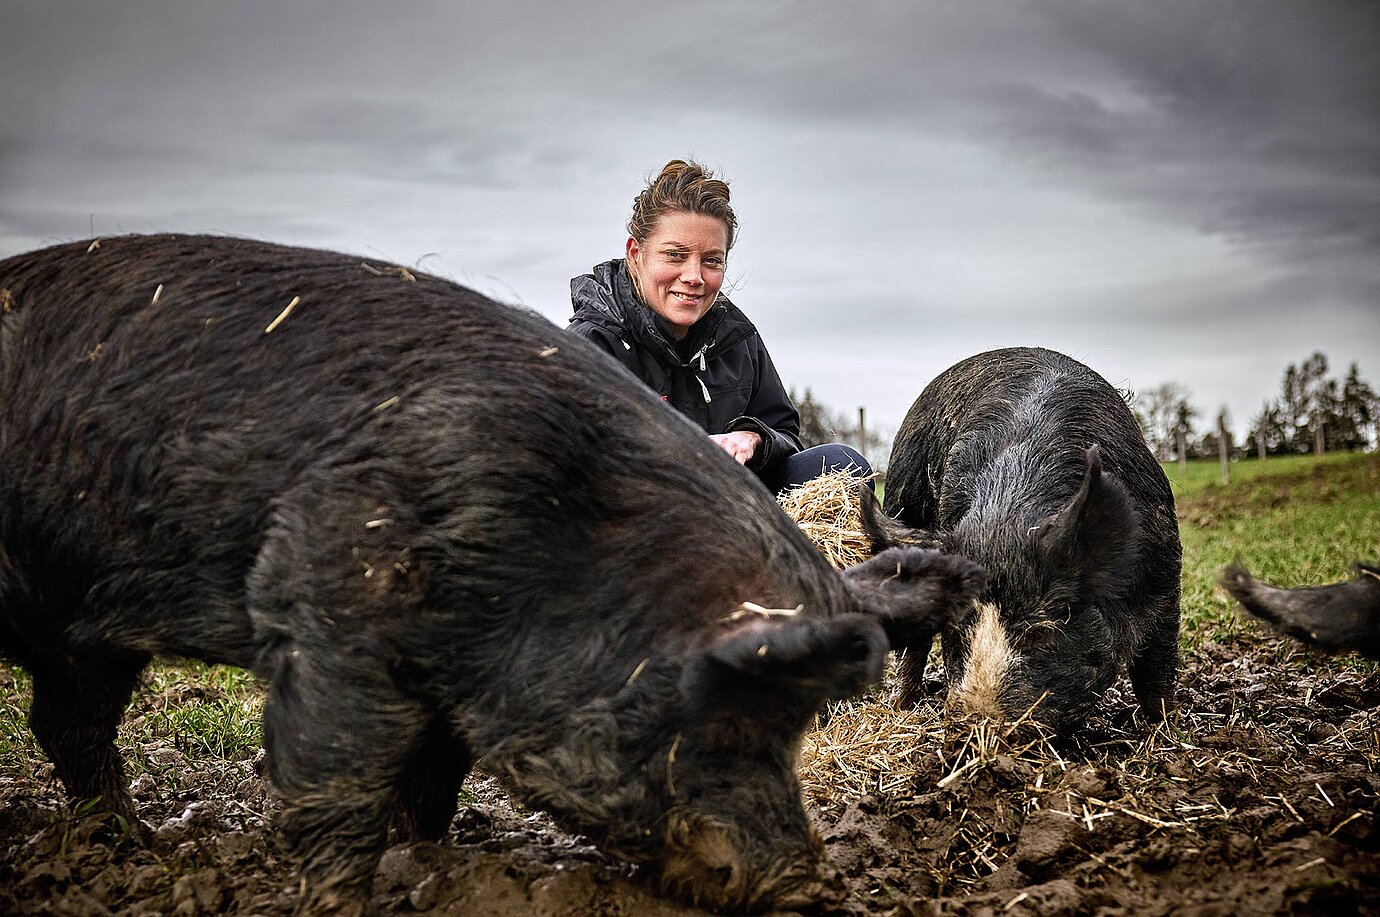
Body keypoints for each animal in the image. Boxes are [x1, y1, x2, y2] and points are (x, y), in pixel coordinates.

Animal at [0, 234, 982, 911]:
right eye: (732, 717)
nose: (807, 885)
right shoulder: (327, 601)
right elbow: (337, 778)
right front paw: (347, 893)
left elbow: (432, 780)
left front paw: (430, 859)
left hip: (90, 631)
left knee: (66, 723)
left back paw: (135, 842)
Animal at [866, 345, 1181, 729]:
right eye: (959, 623)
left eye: (1049, 621)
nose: (981, 716)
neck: (1009, 519)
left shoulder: (1164, 573)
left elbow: (1156, 668)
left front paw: (1166, 729)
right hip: (901, 503)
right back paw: (902, 707)